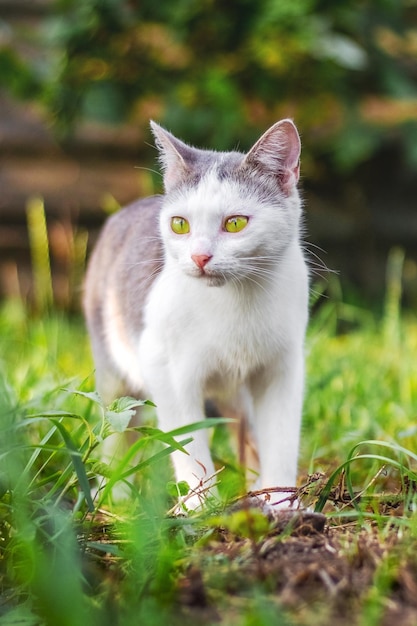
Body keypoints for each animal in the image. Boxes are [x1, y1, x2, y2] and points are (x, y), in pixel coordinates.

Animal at [83, 118, 308, 508]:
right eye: (180, 224)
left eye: (235, 223)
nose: (199, 256)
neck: (238, 303)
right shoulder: (165, 368)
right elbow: (187, 445)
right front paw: (201, 507)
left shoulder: (283, 367)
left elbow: (281, 440)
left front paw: (281, 504)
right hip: (114, 369)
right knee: (116, 430)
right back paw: (116, 498)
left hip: (236, 393)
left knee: (245, 431)